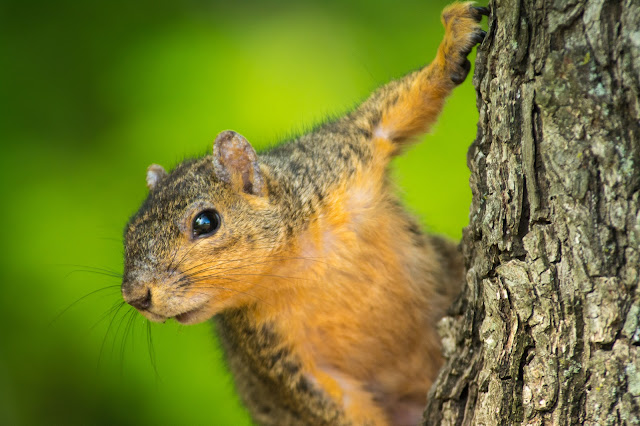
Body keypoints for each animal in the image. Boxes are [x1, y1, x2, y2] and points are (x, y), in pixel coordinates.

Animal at [121, 4, 490, 426]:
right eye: (127, 235)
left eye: (205, 222)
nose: (135, 296)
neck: (299, 260)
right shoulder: (282, 359)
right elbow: (339, 405)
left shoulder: (341, 153)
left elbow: (394, 113)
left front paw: (452, 40)